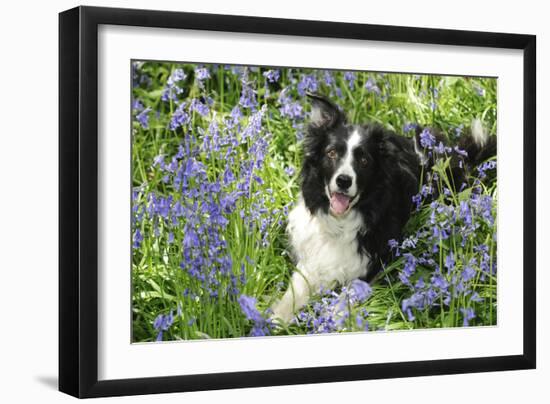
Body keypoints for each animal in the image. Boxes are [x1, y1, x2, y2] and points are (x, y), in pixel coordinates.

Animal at [272, 93, 500, 324]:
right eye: (332, 153)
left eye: (364, 160)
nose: (344, 181)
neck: (341, 222)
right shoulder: (312, 258)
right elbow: (294, 292)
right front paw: (274, 318)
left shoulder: (375, 263)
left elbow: (343, 301)